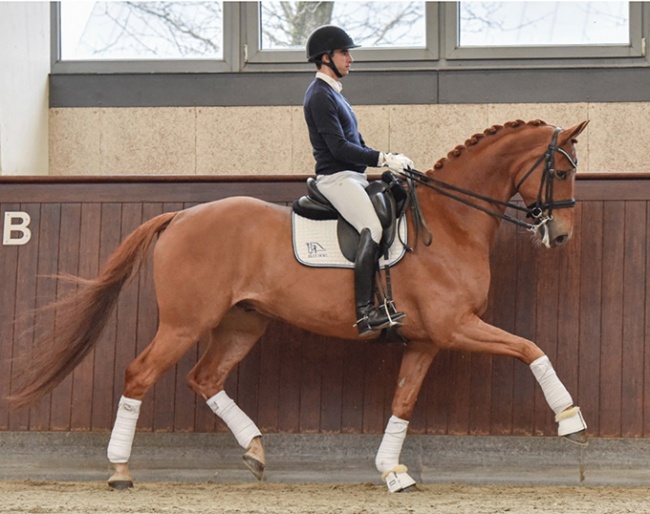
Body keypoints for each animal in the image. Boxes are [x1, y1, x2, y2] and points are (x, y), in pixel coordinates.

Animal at [7, 118, 588, 490]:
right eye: (561, 172)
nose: (560, 235)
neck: (448, 223)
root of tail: (180, 217)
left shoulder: (426, 341)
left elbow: (402, 402)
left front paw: (392, 471)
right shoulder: (456, 326)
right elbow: (531, 348)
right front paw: (569, 418)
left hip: (243, 324)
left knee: (205, 378)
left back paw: (255, 452)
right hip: (185, 322)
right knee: (139, 374)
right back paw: (120, 471)